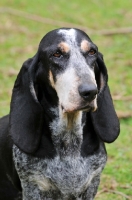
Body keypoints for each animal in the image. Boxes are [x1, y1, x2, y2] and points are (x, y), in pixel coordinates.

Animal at [0, 27, 119, 198]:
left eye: (92, 52)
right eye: (57, 54)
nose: (90, 92)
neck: (69, 140)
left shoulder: (92, 183)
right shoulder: (33, 186)